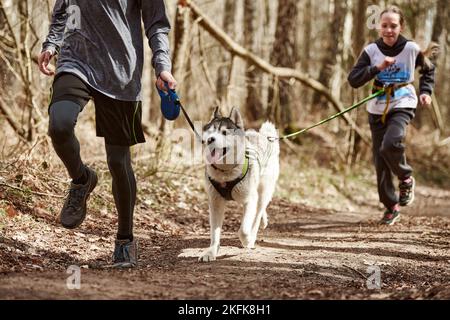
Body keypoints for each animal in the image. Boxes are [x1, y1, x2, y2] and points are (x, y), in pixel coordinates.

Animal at [200, 106, 280, 262]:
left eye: (224, 132)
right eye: (210, 132)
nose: (210, 139)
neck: (225, 173)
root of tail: (261, 136)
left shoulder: (250, 200)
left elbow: (243, 229)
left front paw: (247, 240)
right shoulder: (215, 203)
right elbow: (214, 233)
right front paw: (211, 252)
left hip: (262, 192)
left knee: (258, 213)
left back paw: (253, 236)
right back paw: (264, 220)